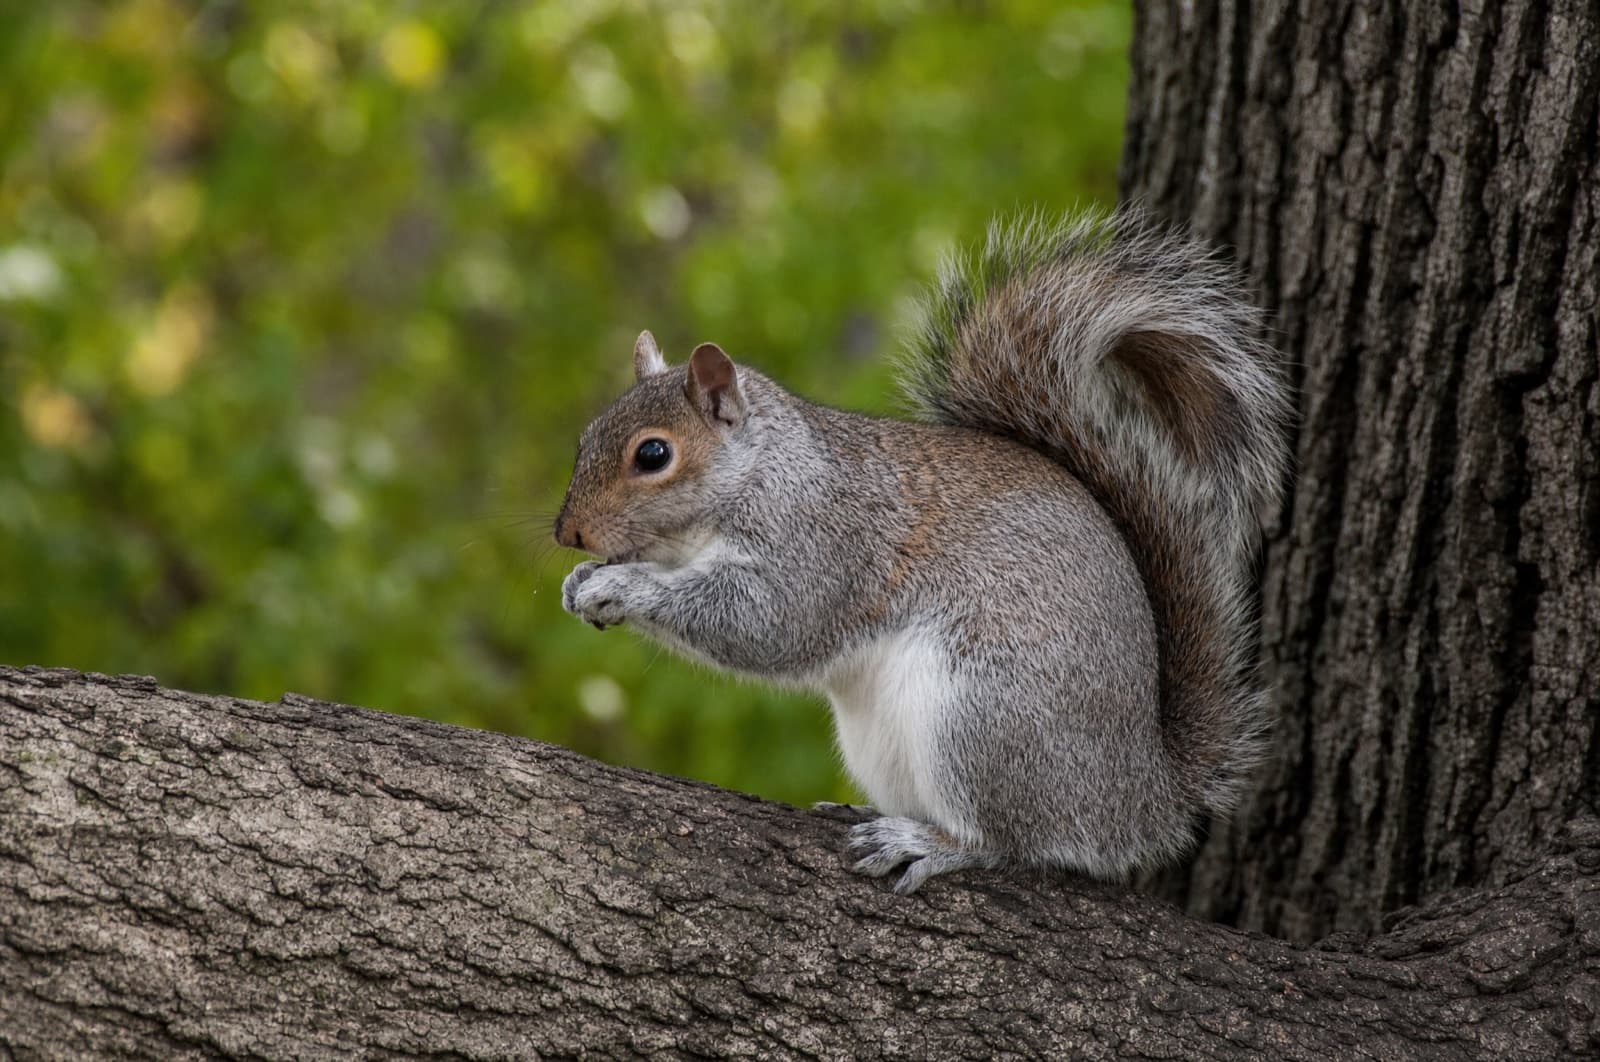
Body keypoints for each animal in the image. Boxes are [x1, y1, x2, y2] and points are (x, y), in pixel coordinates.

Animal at [554, 208, 1292, 893]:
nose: (568, 534)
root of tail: (1139, 795)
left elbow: (765, 624)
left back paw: (932, 843)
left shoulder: (823, 545)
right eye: (585, 436)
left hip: (983, 715)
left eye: (654, 455)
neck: (760, 473)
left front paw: (619, 587)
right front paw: (583, 579)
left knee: (1012, 840)